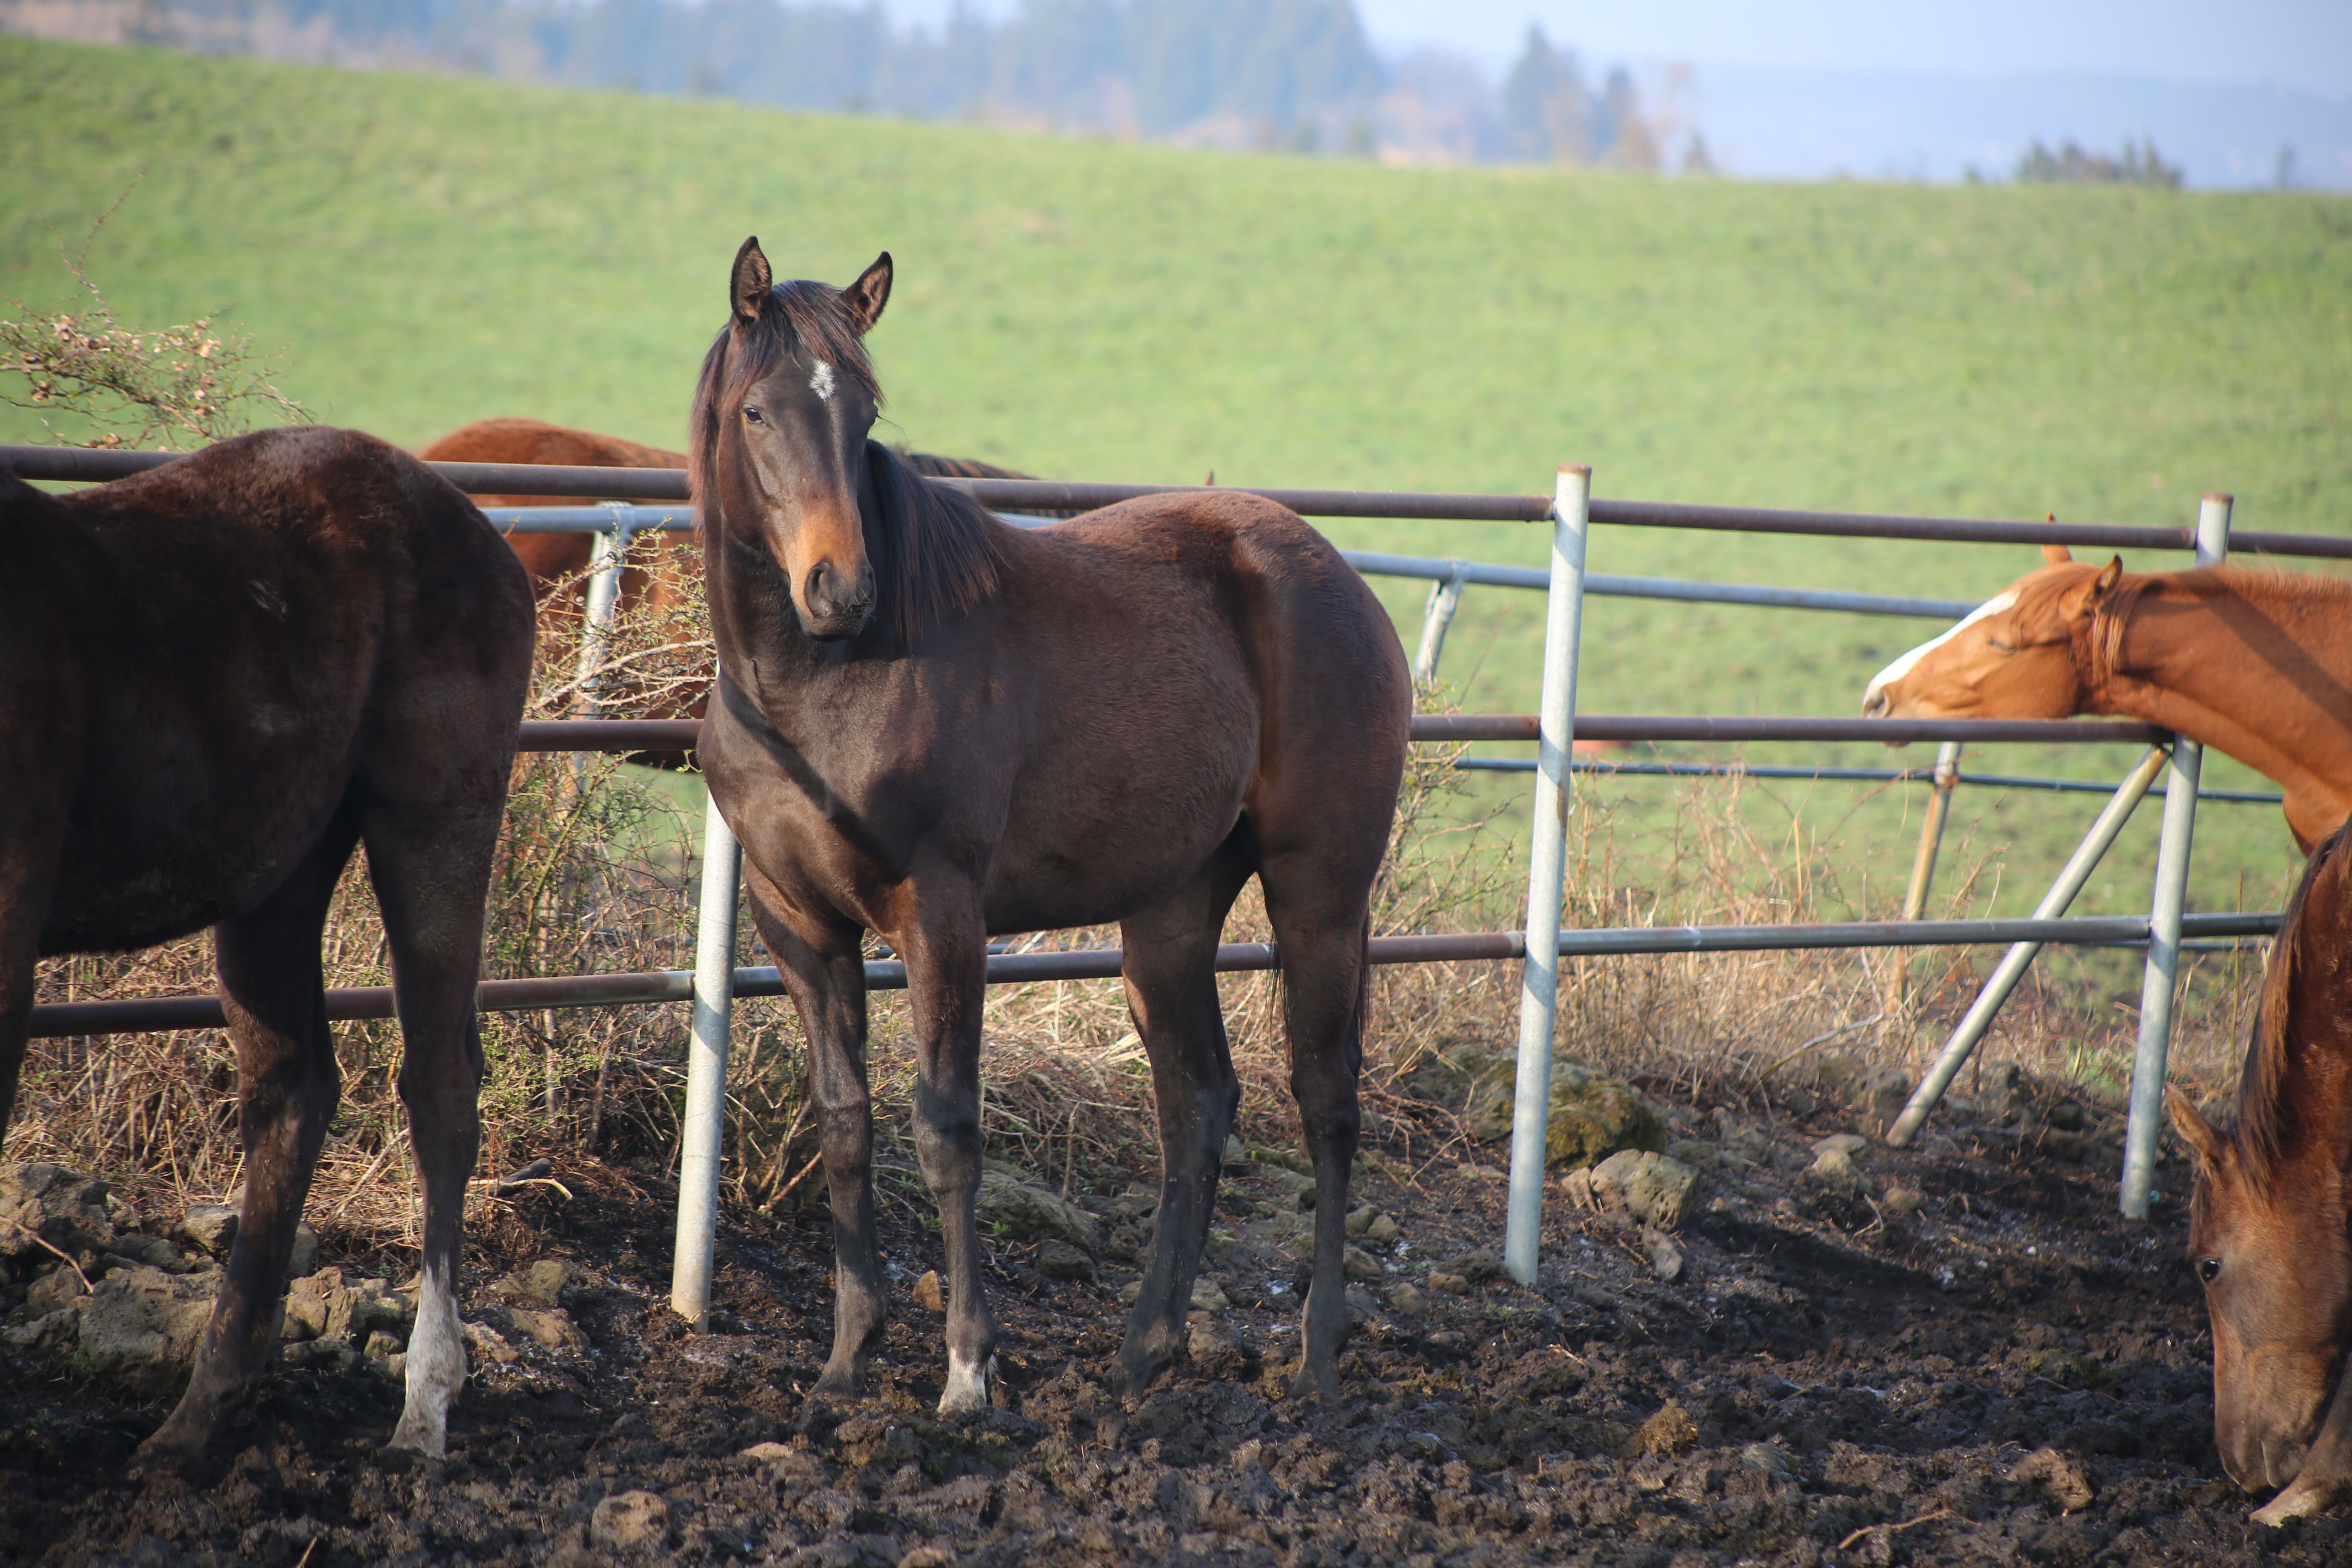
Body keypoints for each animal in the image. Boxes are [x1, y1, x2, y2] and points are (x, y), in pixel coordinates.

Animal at [2, 423, 536, 1467]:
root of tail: (469, 521)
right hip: (276, 872)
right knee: (292, 1092)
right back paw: (203, 1411)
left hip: (434, 821)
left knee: (439, 1086)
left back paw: (424, 1404)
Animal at [686, 240, 1401, 1420]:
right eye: (757, 411)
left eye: (864, 410)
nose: (839, 589)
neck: (817, 685)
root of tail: (1334, 577)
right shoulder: (797, 922)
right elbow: (844, 1123)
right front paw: (845, 1360)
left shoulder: (941, 914)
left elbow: (945, 1128)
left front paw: (967, 1370)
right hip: (1170, 913)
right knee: (1198, 1102)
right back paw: (1145, 1348)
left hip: (1322, 895)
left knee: (1325, 1099)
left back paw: (1319, 1358)